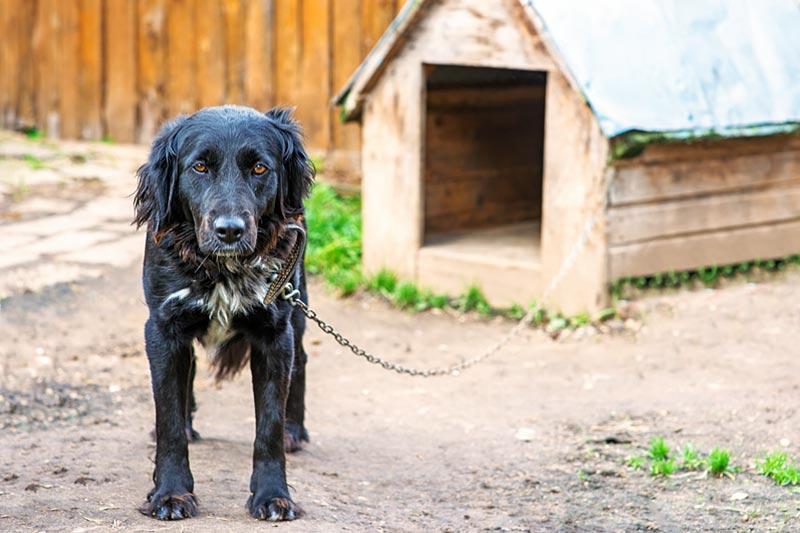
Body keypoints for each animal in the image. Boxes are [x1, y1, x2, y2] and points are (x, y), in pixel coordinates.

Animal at [133, 106, 314, 520]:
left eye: (260, 168)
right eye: (199, 166)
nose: (229, 230)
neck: (222, 269)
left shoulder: (275, 333)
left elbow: (269, 427)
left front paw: (273, 495)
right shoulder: (163, 328)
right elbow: (168, 419)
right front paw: (171, 493)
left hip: (299, 307)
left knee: (302, 362)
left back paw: (295, 430)